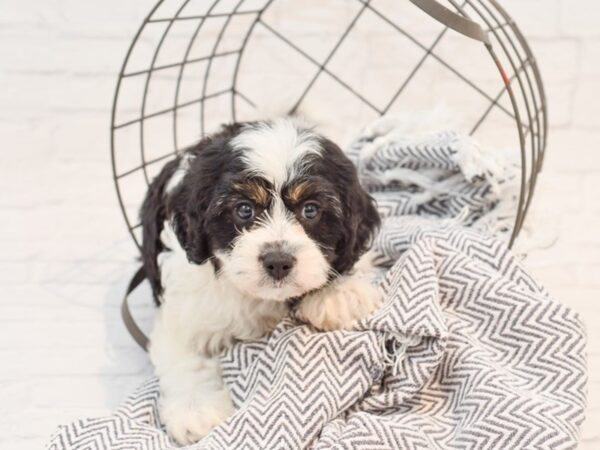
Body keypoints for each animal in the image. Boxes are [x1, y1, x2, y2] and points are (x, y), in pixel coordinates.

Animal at [141, 118, 380, 444]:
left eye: (310, 209)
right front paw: (196, 410)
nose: (278, 261)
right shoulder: (185, 306)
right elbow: (184, 355)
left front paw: (340, 294)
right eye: (244, 209)